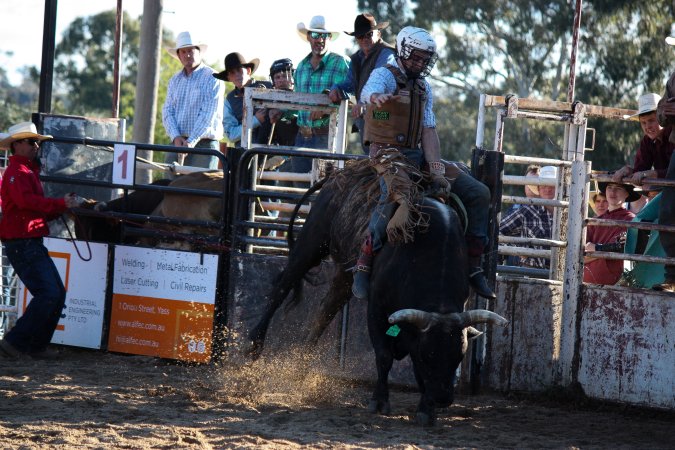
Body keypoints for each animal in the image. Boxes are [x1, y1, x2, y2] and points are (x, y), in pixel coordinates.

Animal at [247, 158, 507, 426]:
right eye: (428, 355)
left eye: (458, 357)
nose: (443, 399)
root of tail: (338, 173)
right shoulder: (377, 309)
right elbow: (383, 356)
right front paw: (379, 401)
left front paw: (426, 410)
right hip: (313, 240)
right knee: (282, 286)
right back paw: (254, 345)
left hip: (345, 274)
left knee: (325, 310)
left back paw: (301, 363)